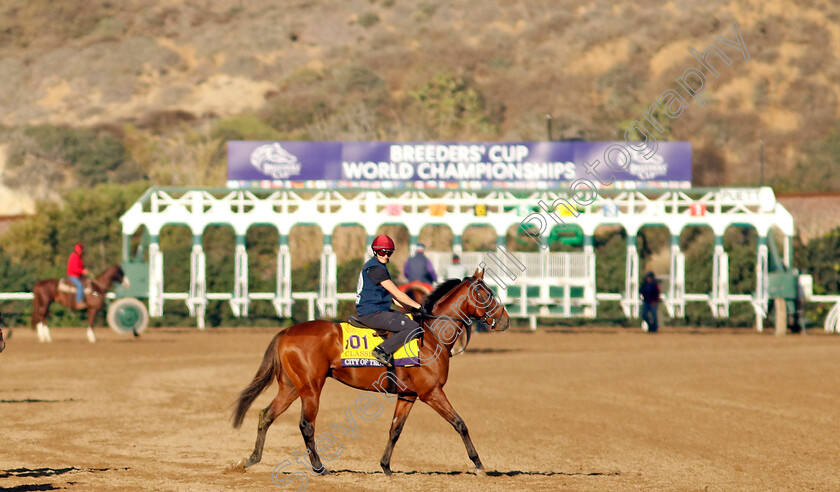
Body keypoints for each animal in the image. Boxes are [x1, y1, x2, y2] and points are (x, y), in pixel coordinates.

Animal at [231, 270, 512, 476]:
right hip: (310, 388)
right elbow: (460, 424)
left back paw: (252, 459)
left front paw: (386, 467)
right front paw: (478, 464)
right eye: (485, 294)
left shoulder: (408, 396)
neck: (432, 336)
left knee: (266, 415)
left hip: (291, 387)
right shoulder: (432, 393)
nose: (505, 320)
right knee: (306, 425)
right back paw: (319, 468)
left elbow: (395, 430)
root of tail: (286, 332)